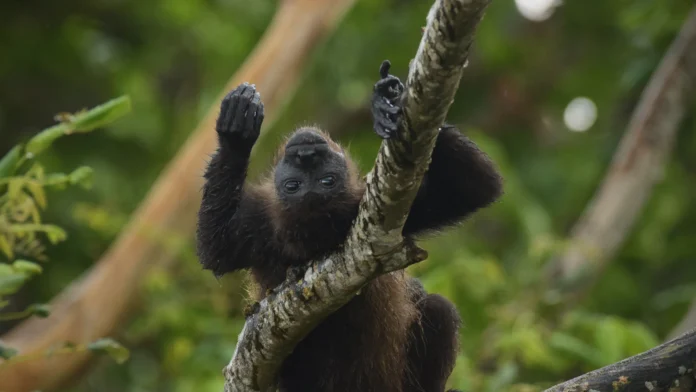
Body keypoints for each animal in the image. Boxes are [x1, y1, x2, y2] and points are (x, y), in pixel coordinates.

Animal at [194, 61, 500, 392]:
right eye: (293, 186)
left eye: (327, 180)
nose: (306, 153)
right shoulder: (260, 224)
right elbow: (217, 249)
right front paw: (235, 137)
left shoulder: (376, 207)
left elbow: (474, 188)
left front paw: (389, 102)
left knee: (438, 309)